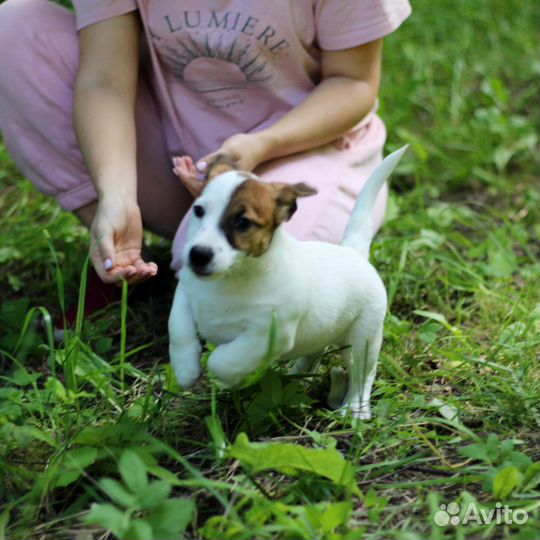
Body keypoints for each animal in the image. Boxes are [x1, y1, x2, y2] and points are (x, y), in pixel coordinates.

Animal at [167, 146, 408, 420]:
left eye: (242, 222)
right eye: (198, 210)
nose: (198, 255)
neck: (233, 277)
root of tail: (352, 251)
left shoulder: (268, 334)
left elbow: (225, 359)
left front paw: (231, 376)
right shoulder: (186, 292)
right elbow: (178, 327)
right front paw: (185, 367)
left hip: (362, 339)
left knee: (362, 374)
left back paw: (355, 409)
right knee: (315, 352)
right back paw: (297, 377)